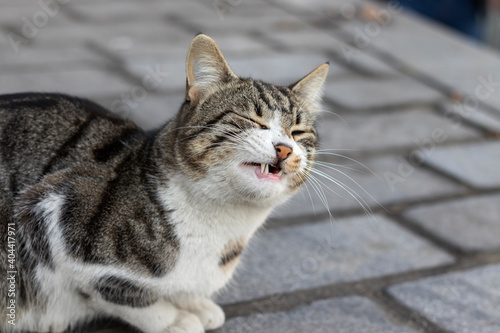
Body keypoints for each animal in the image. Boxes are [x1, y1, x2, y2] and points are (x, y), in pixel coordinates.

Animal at [0, 34, 328, 332]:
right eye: (252, 120)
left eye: (298, 132)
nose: (284, 149)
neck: (224, 223)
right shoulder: (53, 217)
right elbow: (120, 293)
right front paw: (174, 318)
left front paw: (192, 302)